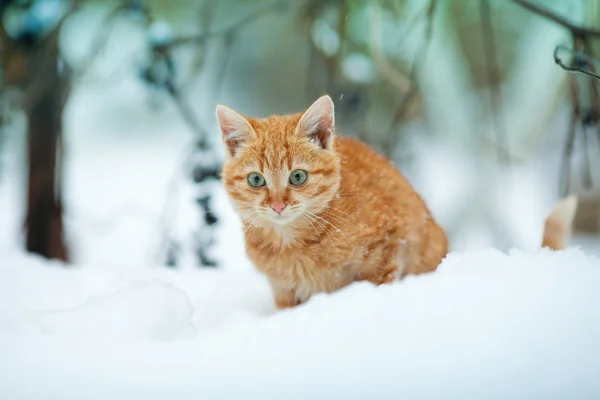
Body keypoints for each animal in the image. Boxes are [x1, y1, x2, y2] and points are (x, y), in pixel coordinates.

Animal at [216, 95, 446, 308]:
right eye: (256, 179)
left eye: (298, 176)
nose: (278, 206)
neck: (293, 245)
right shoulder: (283, 291)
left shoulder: (389, 243)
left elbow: (379, 282)